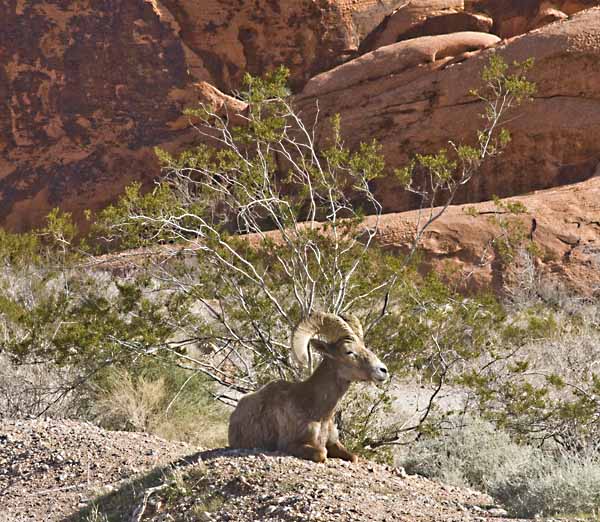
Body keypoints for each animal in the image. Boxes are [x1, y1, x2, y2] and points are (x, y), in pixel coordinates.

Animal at [229, 310, 390, 462]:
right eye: (348, 351)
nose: (383, 370)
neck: (316, 411)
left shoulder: (334, 443)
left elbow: (354, 457)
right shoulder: (290, 445)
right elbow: (322, 453)